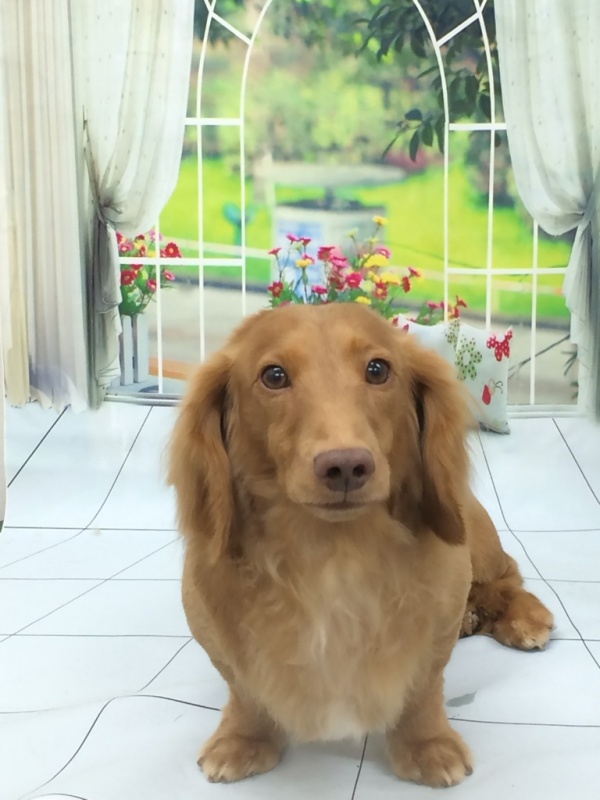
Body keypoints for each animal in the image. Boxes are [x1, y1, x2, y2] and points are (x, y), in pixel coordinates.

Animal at [168, 302, 554, 787]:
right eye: (274, 376)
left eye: (377, 369)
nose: (346, 465)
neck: (335, 554)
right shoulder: (213, 628)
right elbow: (245, 690)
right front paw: (243, 738)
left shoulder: (434, 631)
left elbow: (422, 691)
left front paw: (427, 744)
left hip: (476, 538)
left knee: (508, 576)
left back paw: (523, 617)